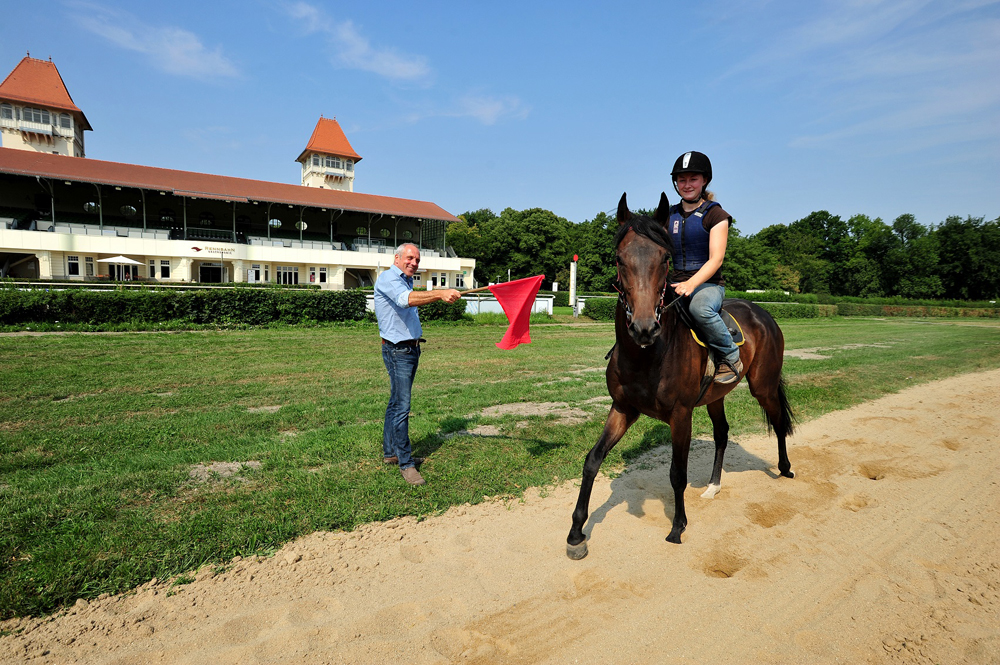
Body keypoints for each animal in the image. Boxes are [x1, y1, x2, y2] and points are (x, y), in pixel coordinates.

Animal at [566, 192, 794, 560]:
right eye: (619, 258)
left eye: (664, 258)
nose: (644, 327)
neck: (647, 356)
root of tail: (762, 312)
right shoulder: (622, 409)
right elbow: (592, 460)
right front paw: (576, 534)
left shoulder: (681, 414)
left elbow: (677, 473)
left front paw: (677, 527)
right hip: (716, 396)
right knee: (722, 433)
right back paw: (714, 486)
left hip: (763, 386)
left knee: (777, 420)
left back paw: (785, 467)